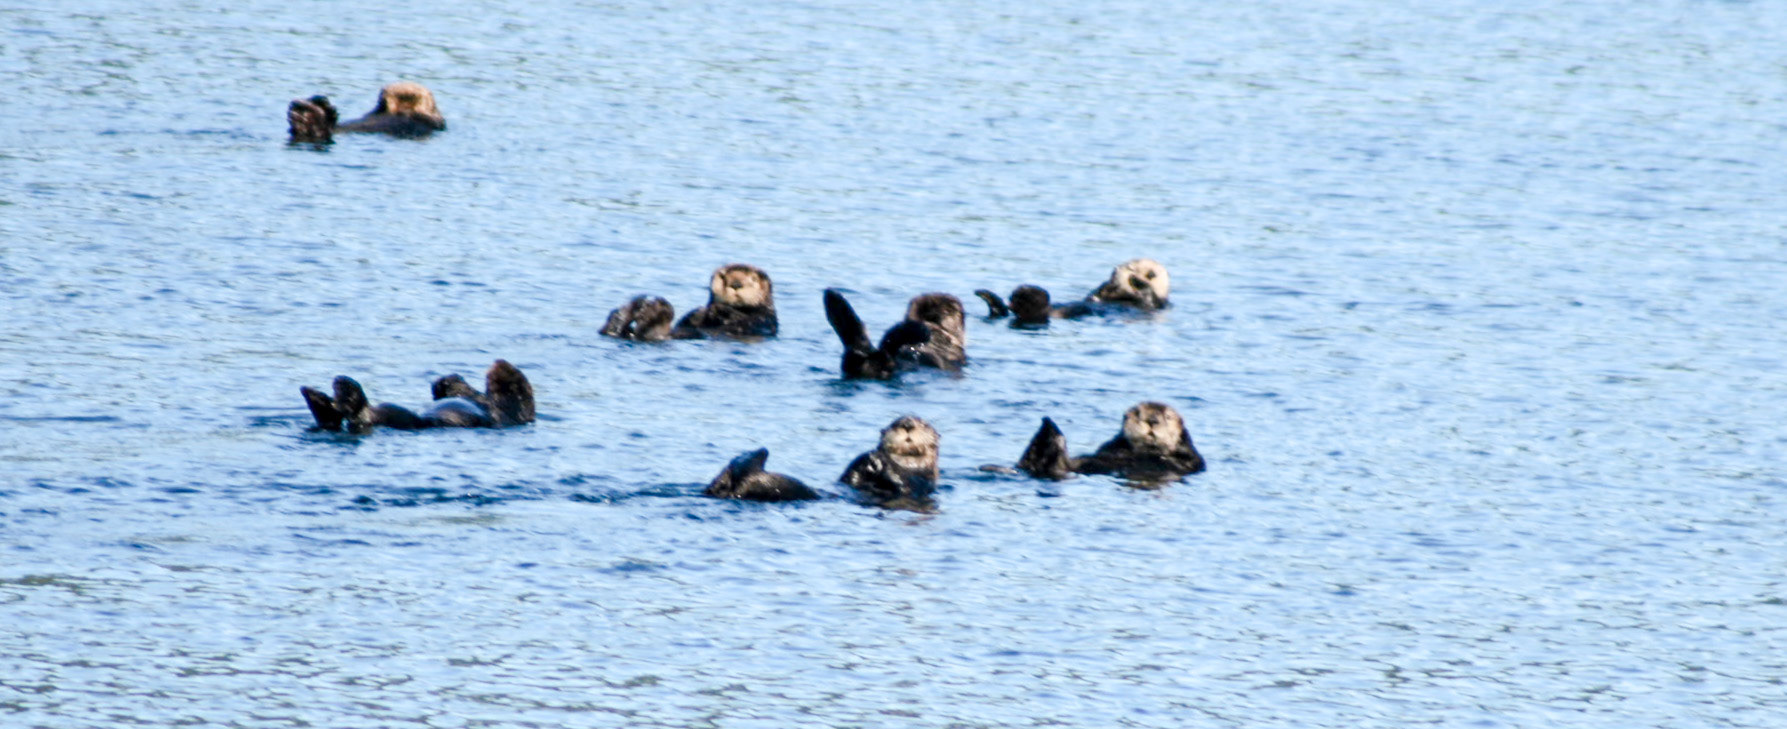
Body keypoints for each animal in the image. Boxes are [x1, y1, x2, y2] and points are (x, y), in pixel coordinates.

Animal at [301, 359, 533, 433]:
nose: (497, 362)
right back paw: (316, 398)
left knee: (358, 415)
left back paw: (340, 389)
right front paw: (443, 383)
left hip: (399, 418)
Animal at [975, 259, 1171, 321]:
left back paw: (1021, 295)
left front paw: (1138, 281)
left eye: (1130, 267)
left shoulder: (1155, 304)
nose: (1114, 273)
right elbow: (1093, 295)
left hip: (1038, 308)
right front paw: (1103, 287)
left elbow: (1148, 297)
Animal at [1011, 402, 1204, 484]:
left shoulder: (1193, 462)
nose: (1152, 420)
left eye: (1168, 417)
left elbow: (1192, 458)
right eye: (1138, 413)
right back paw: (1048, 429)